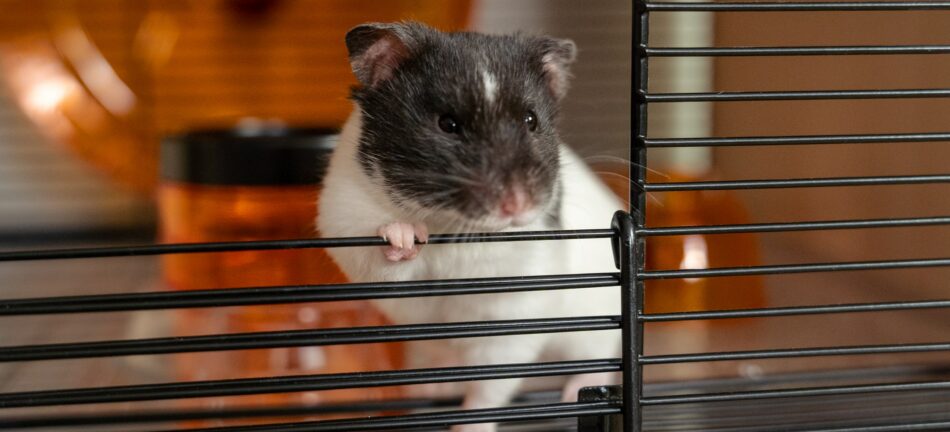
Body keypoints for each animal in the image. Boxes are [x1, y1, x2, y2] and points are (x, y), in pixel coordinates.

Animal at [322, 22, 624, 432]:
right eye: (447, 124)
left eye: (531, 120)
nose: (517, 205)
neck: (449, 223)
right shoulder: (345, 218)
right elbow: (386, 252)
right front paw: (407, 234)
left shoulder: (508, 319)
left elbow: (486, 393)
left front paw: (469, 426)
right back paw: (426, 390)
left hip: (593, 325)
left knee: (597, 358)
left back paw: (575, 391)